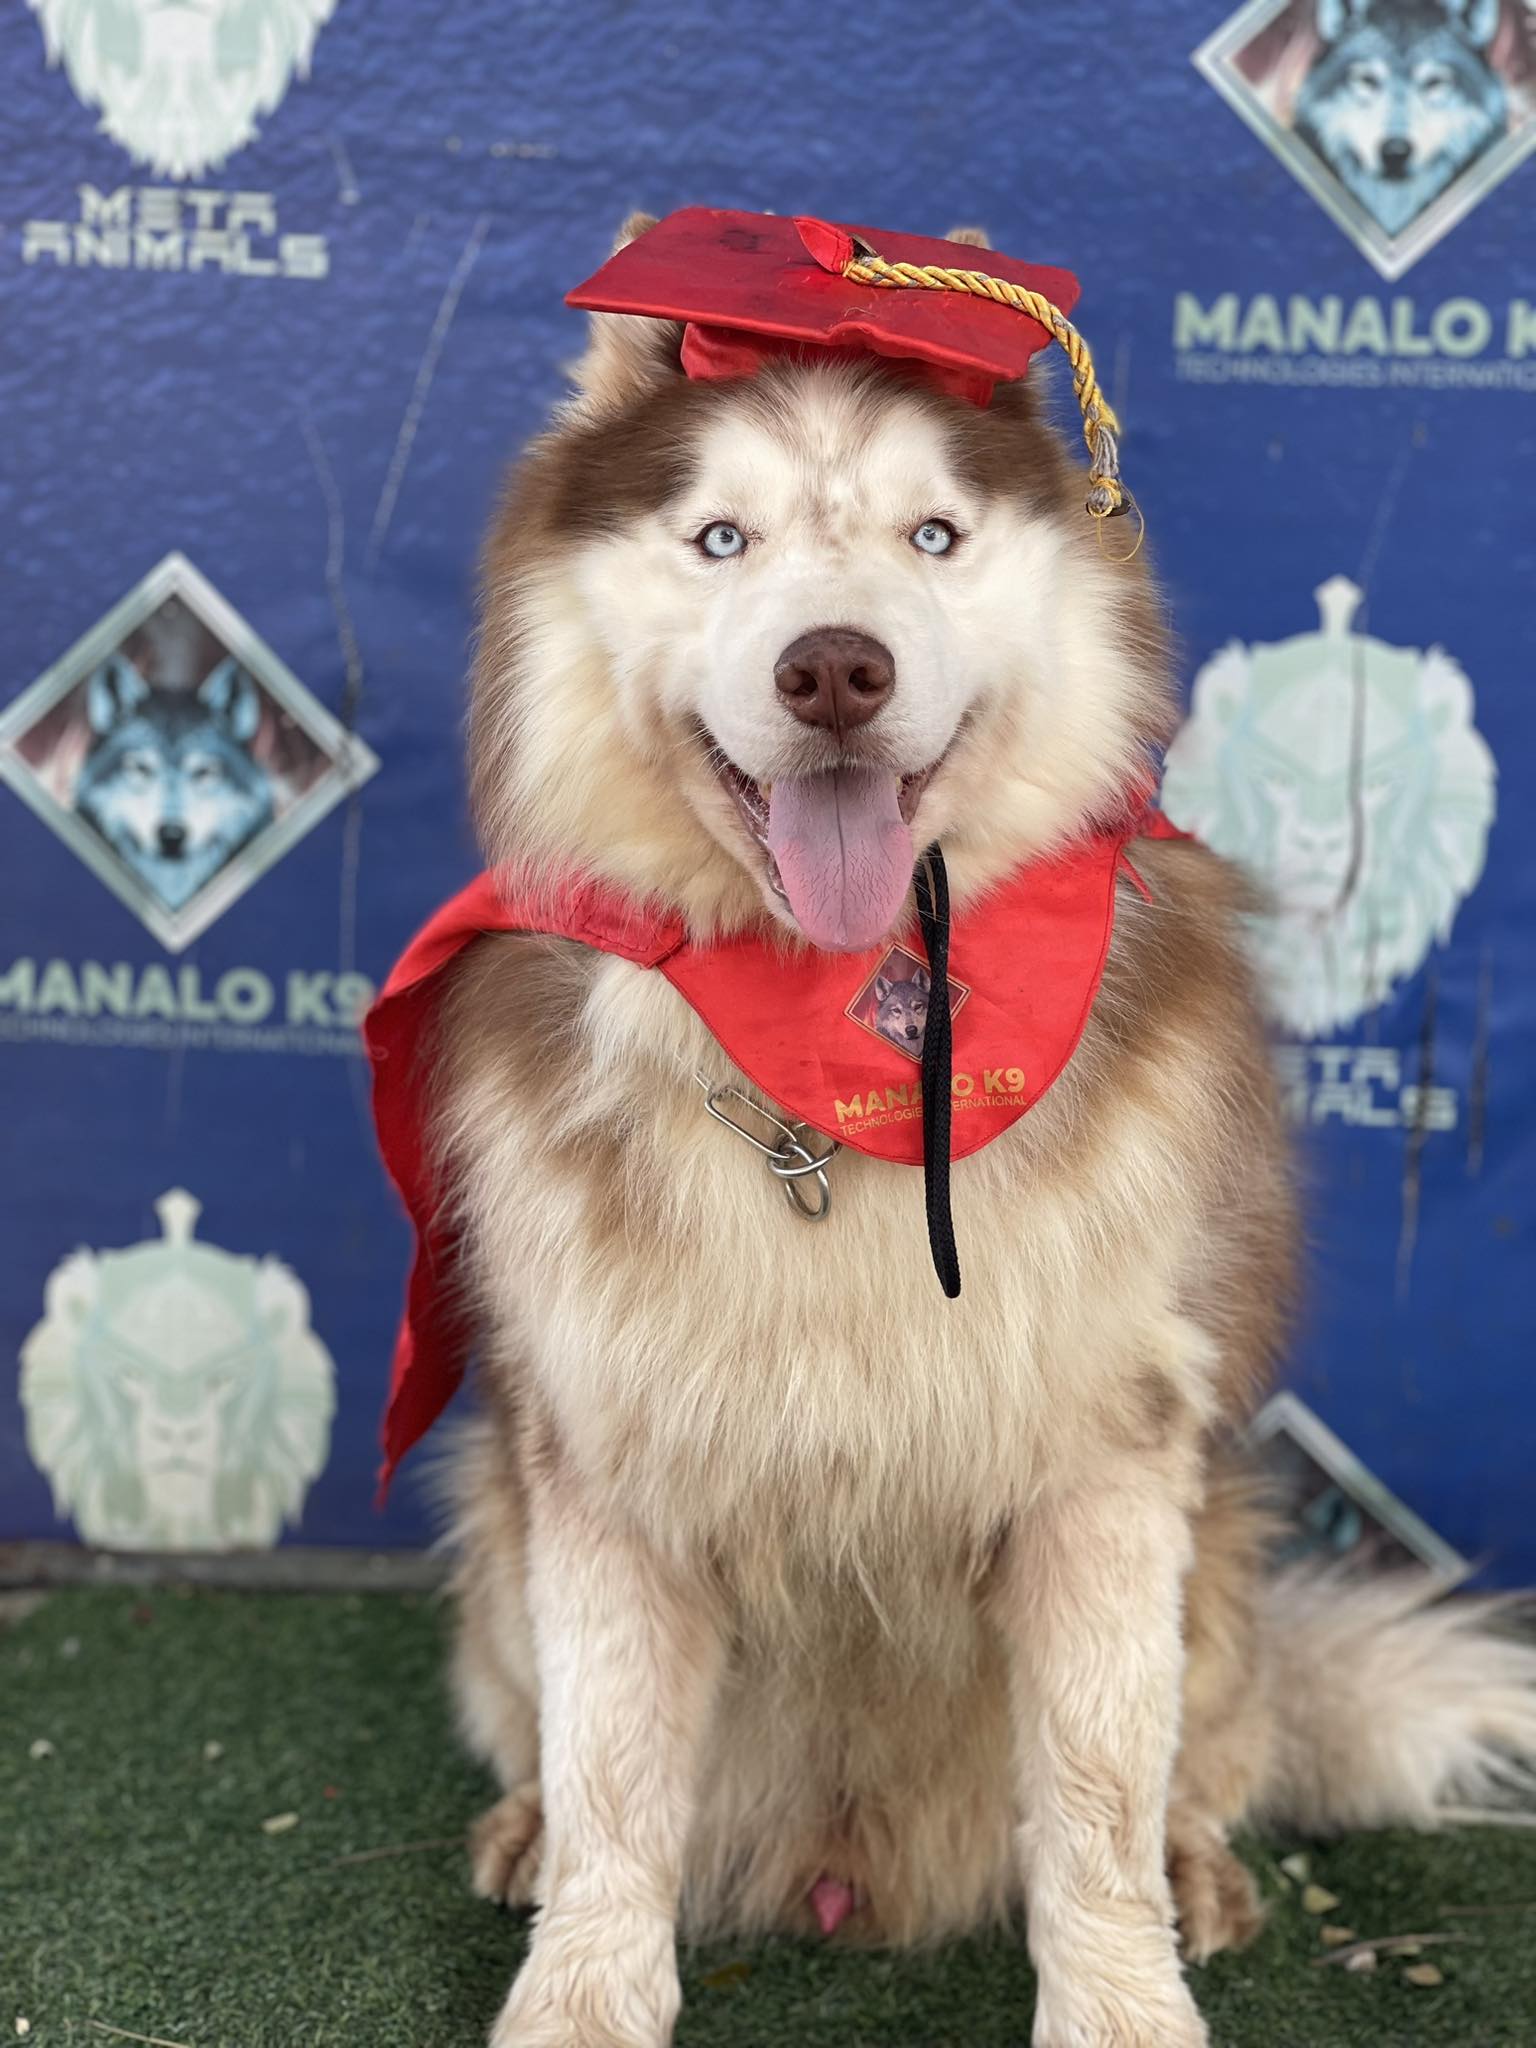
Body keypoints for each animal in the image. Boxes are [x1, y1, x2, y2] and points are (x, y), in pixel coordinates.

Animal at [422, 215, 1536, 2048]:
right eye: (719, 537)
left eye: (932, 536)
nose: (833, 664)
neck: (833, 1051)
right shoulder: (605, 1460)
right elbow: (614, 1777)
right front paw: (579, 1993)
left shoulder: (1105, 1457)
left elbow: (1093, 1791)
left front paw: (1124, 2000)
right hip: (492, 1520)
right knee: (539, 1737)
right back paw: (514, 1828)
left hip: (1223, 1549)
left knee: (1201, 1761)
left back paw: (1204, 1870)